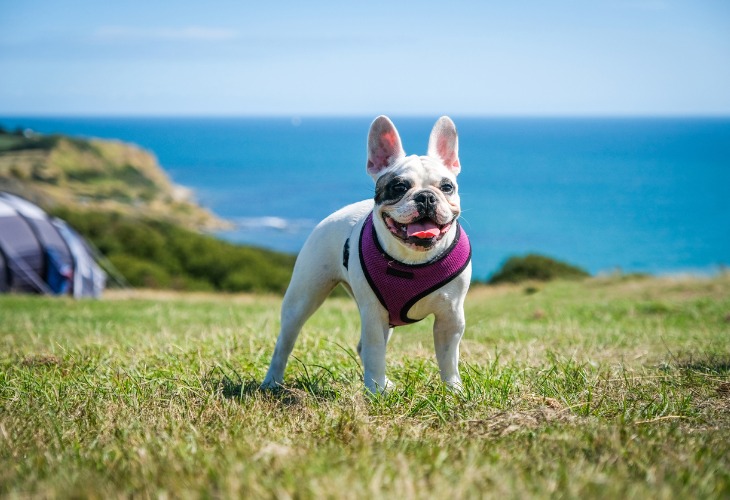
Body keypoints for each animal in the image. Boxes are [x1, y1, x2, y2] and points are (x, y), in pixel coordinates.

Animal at [262, 115, 472, 392]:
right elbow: (375, 353)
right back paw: (271, 381)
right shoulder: (373, 314)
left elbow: (448, 359)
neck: (412, 261)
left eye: (447, 187)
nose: (426, 197)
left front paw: (454, 390)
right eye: (398, 187)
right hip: (303, 298)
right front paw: (375, 392)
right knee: (285, 342)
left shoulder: (451, 317)